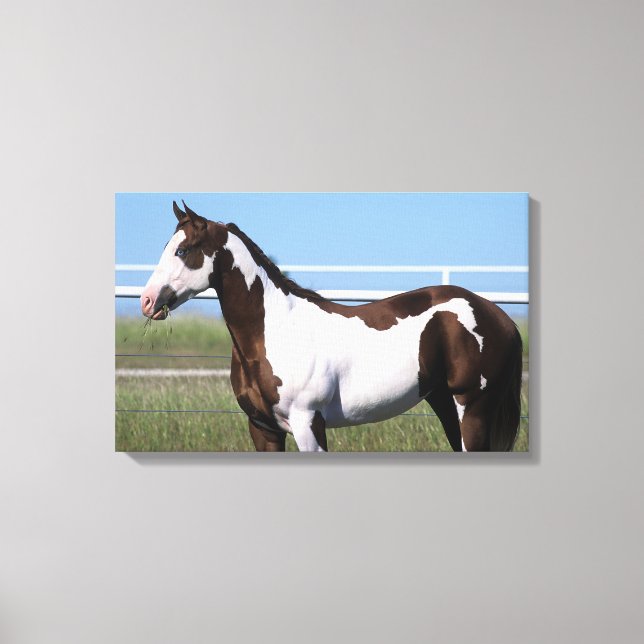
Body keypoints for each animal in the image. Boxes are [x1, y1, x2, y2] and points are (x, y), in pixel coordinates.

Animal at [140, 201, 523, 452]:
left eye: (183, 250)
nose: (147, 300)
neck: (276, 332)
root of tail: (499, 317)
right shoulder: (263, 429)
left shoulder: (308, 423)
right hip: (445, 403)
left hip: (472, 409)